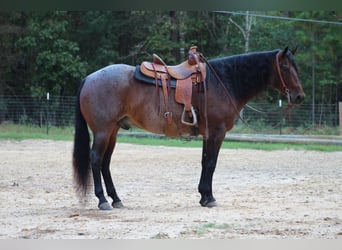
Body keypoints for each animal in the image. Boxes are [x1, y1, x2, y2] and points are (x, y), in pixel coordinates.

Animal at [71, 46, 304, 209]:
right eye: (285, 67)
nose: (299, 96)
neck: (224, 81)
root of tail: (89, 78)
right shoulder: (217, 133)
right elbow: (211, 164)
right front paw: (210, 198)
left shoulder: (207, 134)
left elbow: (204, 163)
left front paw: (203, 196)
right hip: (102, 131)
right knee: (96, 159)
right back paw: (103, 201)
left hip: (113, 131)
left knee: (105, 162)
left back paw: (116, 199)